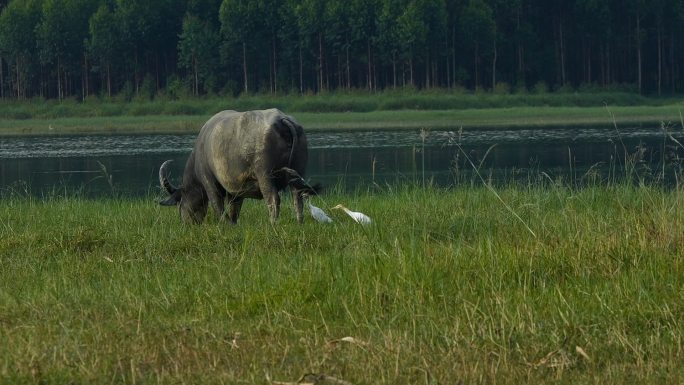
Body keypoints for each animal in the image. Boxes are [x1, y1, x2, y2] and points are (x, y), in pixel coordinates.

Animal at [159, 108, 314, 224]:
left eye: (180, 202)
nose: (185, 222)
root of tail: (282, 119)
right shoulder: (237, 190)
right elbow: (235, 209)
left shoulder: (209, 182)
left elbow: (218, 205)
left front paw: (224, 223)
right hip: (297, 173)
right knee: (298, 197)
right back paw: (299, 222)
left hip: (265, 175)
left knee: (273, 199)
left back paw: (272, 223)